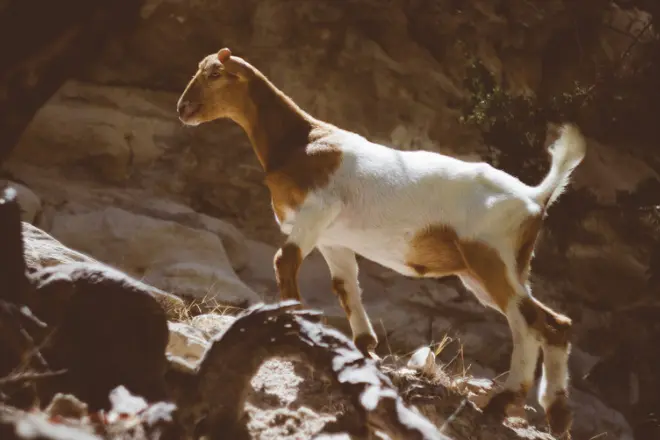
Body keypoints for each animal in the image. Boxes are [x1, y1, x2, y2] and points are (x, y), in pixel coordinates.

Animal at [176, 48, 586, 437]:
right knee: (553, 323)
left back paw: (506, 402)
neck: (301, 141)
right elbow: (345, 286)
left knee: (528, 322)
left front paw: (292, 321)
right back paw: (555, 415)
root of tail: (536, 196)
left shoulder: (315, 213)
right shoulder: (333, 240)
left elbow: (285, 261)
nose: (183, 108)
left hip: (490, 256)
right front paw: (364, 346)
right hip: (494, 269)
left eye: (215, 74)